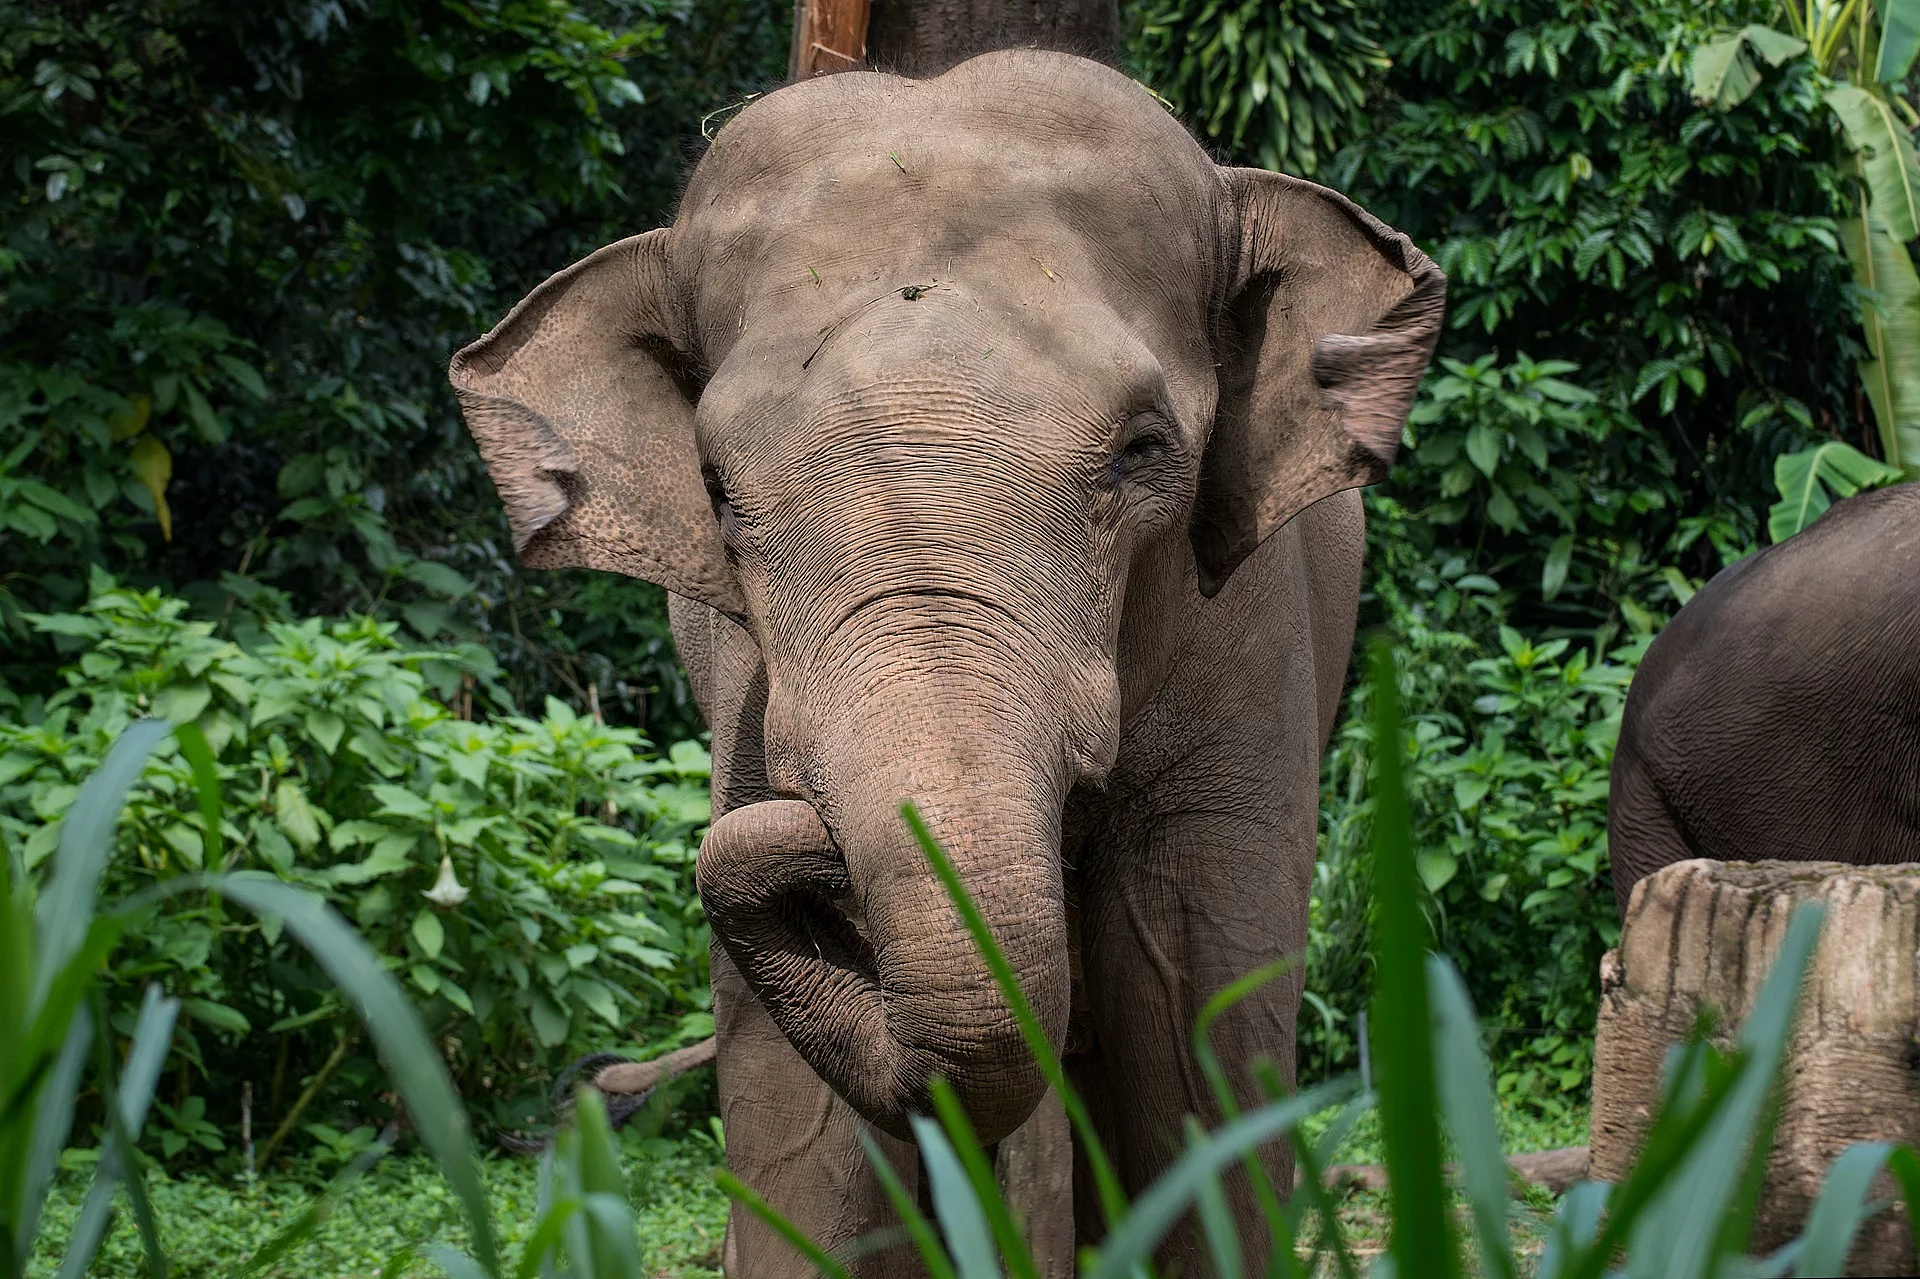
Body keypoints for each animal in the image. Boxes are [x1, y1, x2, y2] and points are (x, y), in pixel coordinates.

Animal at [449, 49, 1443, 1277]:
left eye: (1144, 450)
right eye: (717, 491)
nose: (806, 842)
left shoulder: (1251, 637)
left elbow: (1198, 1007)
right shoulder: (747, 683)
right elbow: (800, 1115)